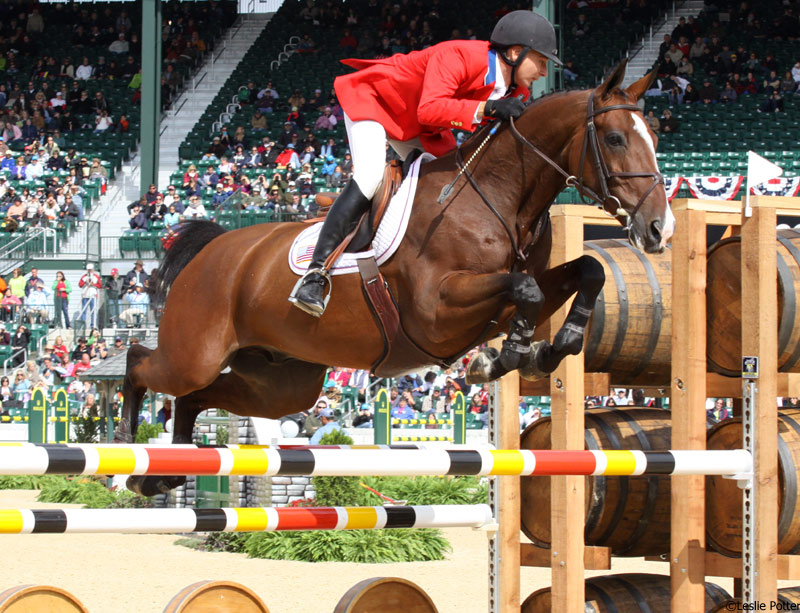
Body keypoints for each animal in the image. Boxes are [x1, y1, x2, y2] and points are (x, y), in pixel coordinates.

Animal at [115, 59, 672, 494]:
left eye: (657, 137)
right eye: (616, 138)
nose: (658, 229)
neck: (501, 198)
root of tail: (212, 249)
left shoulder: (496, 305)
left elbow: (588, 271)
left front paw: (554, 345)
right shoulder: (436, 313)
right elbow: (527, 288)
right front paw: (506, 357)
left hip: (281, 383)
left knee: (197, 395)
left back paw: (161, 475)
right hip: (196, 352)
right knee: (143, 363)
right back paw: (125, 455)